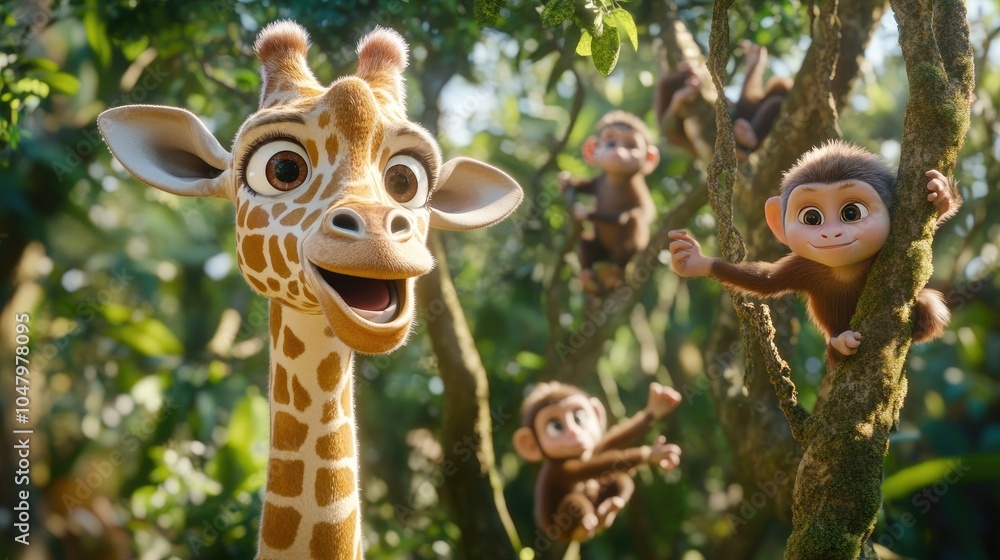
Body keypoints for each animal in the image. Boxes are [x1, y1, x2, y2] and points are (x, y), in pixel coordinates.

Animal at [513, 381, 682, 543]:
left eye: (578, 419)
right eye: (556, 426)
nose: (574, 432)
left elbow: (603, 447)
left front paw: (655, 409)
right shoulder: (561, 469)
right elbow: (592, 468)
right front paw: (651, 453)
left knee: (621, 480)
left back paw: (606, 510)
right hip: (560, 529)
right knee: (575, 503)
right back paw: (584, 526)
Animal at [557, 111, 660, 294]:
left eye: (630, 145)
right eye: (610, 140)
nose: (618, 149)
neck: (616, 179)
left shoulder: (638, 190)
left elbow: (624, 217)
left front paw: (583, 212)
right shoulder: (601, 181)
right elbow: (590, 186)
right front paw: (566, 181)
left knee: (633, 220)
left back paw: (613, 271)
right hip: (600, 250)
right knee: (586, 242)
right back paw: (587, 277)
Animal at [668, 140, 962, 366]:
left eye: (851, 213)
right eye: (812, 217)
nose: (831, 234)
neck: (843, 269)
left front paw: (941, 196)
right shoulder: (803, 266)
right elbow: (764, 280)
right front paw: (694, 261)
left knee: (931, 307)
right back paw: (840, 344)